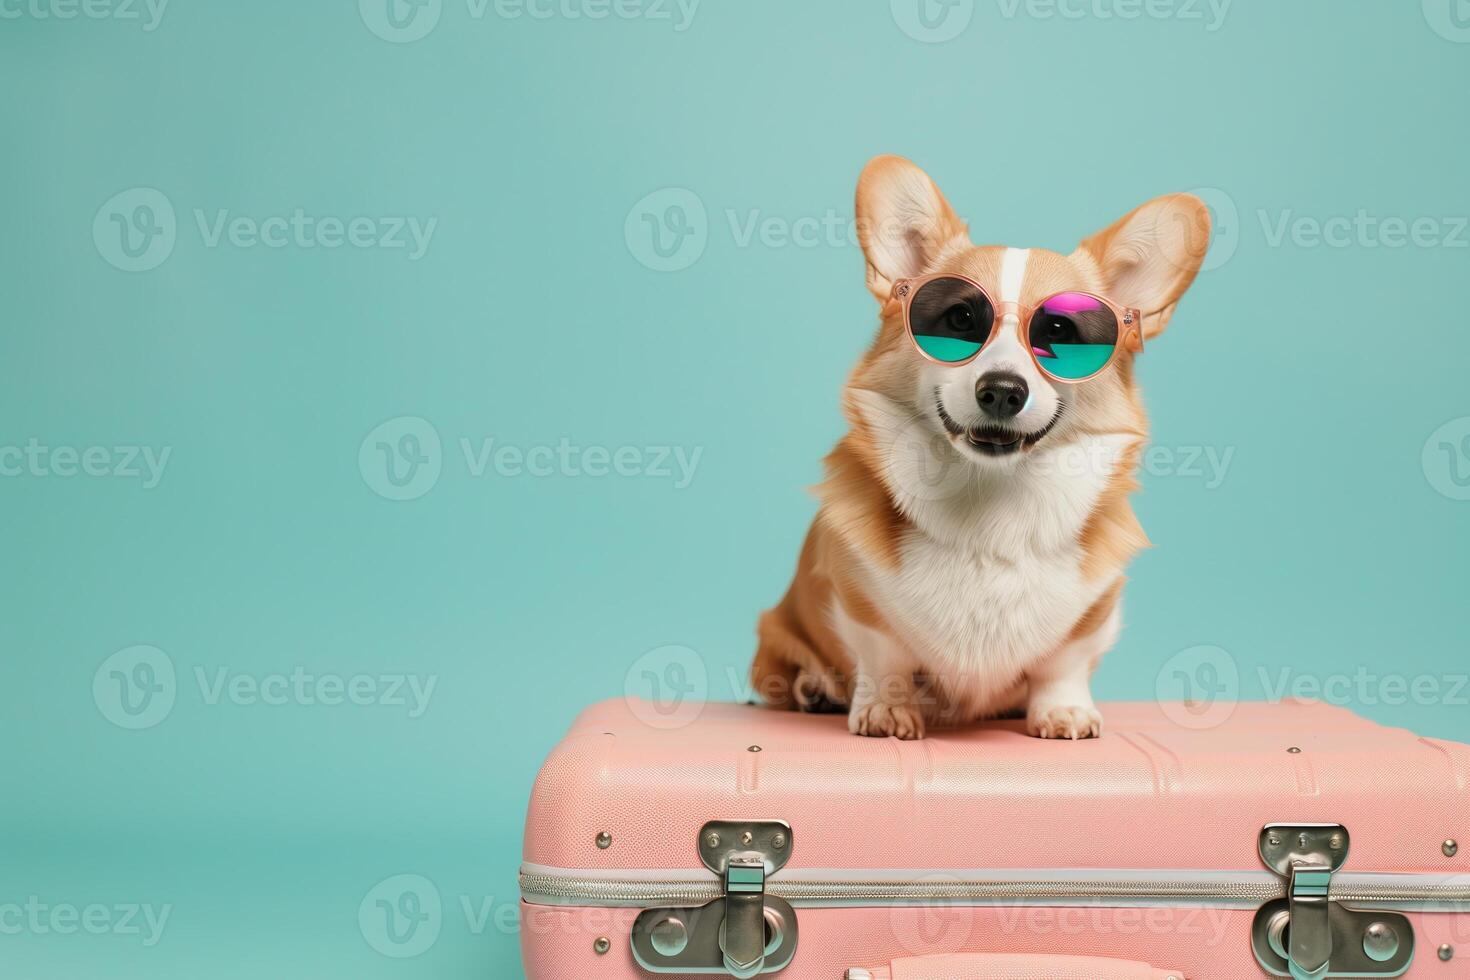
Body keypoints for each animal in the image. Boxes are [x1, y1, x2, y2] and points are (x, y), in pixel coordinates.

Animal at [752, 157, 1211, 743]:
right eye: (960, 321)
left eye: (1060, 331)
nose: (1002, 391)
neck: (992, 503)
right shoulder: (859, 600)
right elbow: (884, 657)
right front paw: (885, 709)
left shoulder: (1093, 615)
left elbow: (1063, 665)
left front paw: (1063, 710)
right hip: (776, 634)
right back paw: (814, 689)